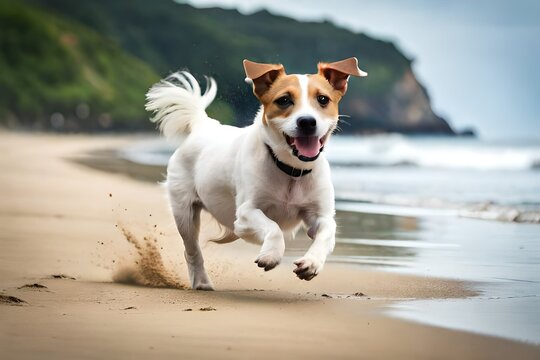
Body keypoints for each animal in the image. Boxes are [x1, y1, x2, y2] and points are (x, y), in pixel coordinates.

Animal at [144, 58, 368, 290]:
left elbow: (325, 233)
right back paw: (201, 281)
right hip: (184, 212)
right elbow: (273, 227)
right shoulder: (246, 213)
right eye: (284, 100)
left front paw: (312, 262)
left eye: (323, 99)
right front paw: (271, 255)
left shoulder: (320, 215)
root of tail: (203, 126)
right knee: (191, 249)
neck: (290, 170)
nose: (307, 121)